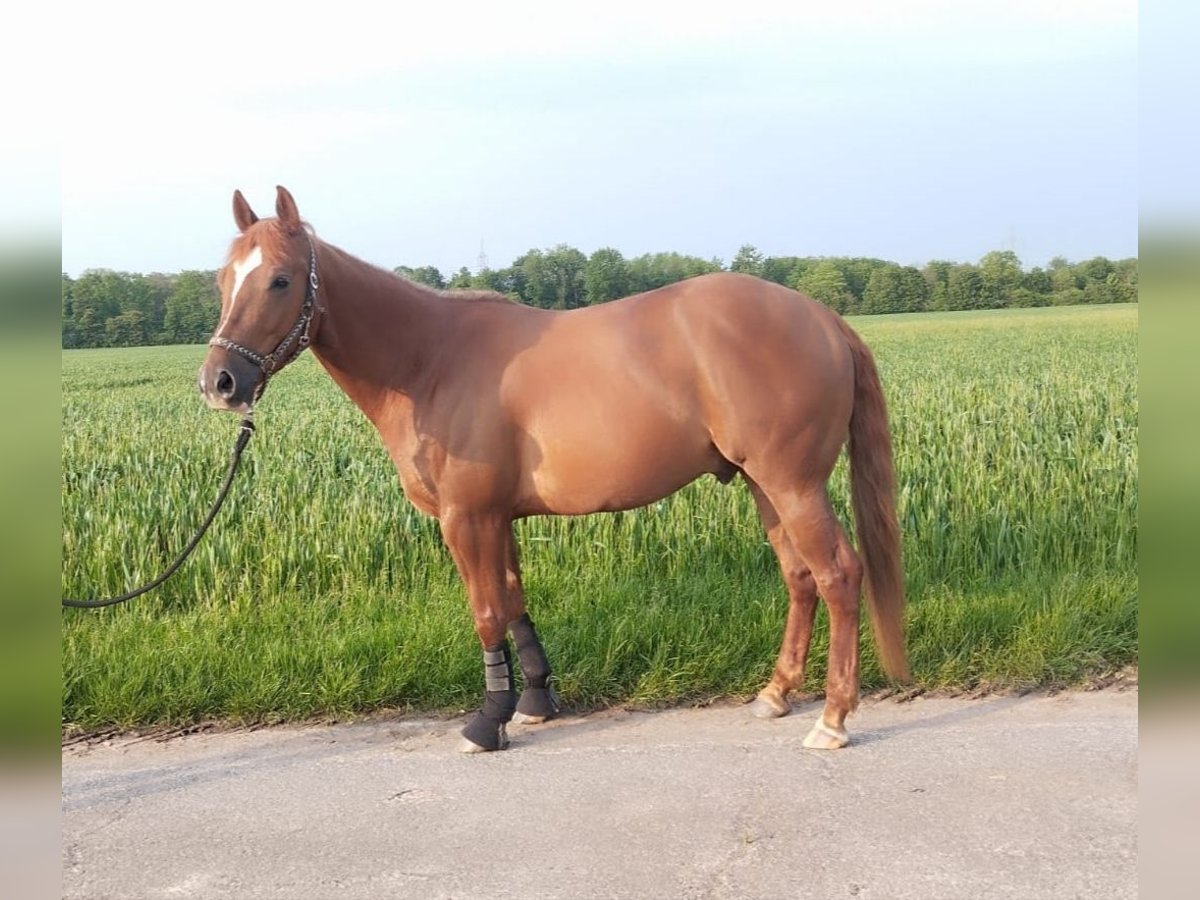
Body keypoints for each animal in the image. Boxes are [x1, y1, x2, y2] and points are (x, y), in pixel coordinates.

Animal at [199, 184, 907, 753]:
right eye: (223, 281)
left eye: (281, 279)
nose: (220, 382)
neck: (429, 360)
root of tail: (821, 315)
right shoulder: (497, 516)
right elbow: (514, 602)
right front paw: (535, 702)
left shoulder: (465, 518)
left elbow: (486, 611)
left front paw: (487, 722)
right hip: (765, 484)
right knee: (799, 577)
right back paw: (776, 693)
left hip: (793, 482)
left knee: (838, 575)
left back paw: (833, 719)